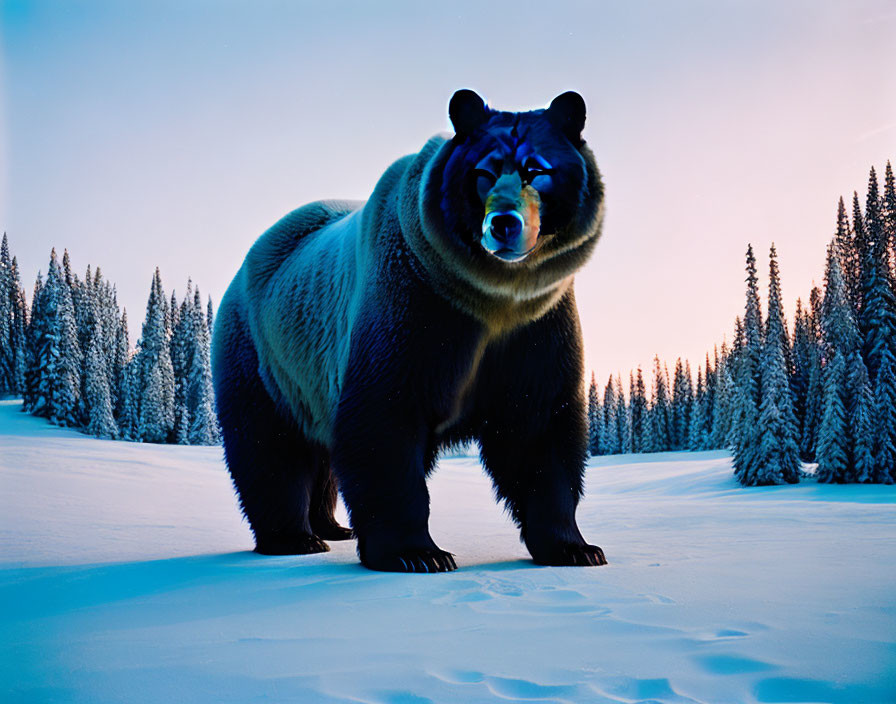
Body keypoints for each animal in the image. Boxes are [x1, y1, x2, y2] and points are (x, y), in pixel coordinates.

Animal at [212, 89, 608, 572]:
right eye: (483, 171)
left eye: (537, 169)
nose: (503, 223)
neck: (492, 299)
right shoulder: (413, 308)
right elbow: (384, 420)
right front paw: (418, 553)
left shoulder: (537, 328)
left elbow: (539, 429)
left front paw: (575, 548)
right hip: (265, 355)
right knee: (270, 450)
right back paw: (293, 537)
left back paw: (332, 527)